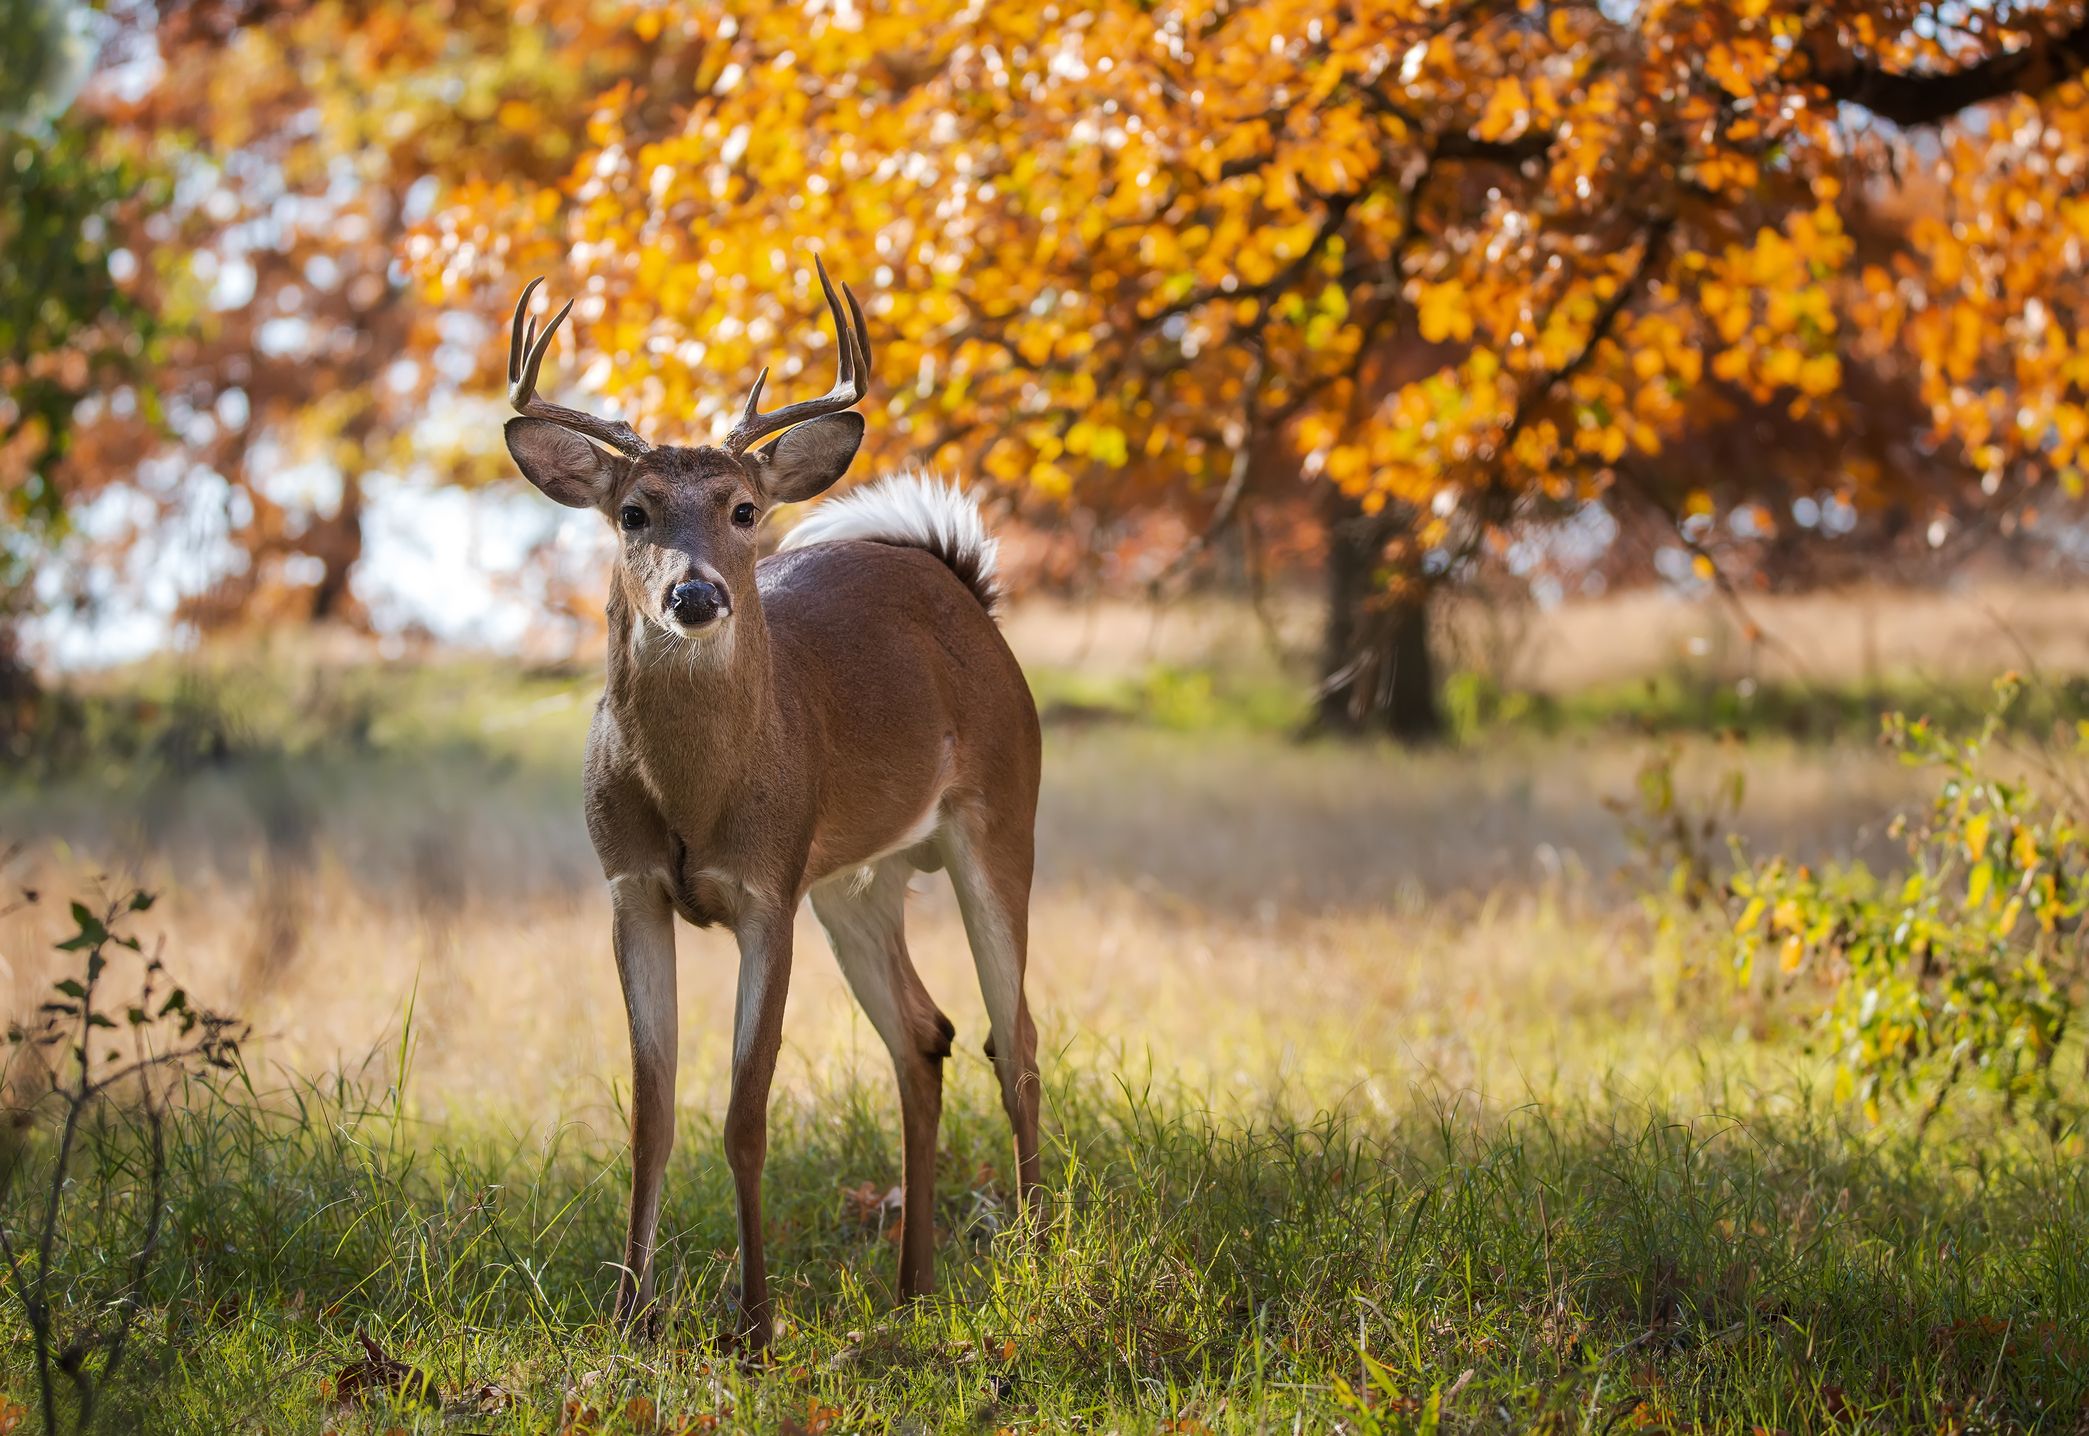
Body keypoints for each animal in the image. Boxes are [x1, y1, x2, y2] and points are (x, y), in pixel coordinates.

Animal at [500, 261, 1042, 1348]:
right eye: (633, 511)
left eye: (744, 508)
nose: (696, 594)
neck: (697, 796)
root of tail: (962, 582)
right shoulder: (630, 887)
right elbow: (650, 1112)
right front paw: (627, 1316)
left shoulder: (767, 889)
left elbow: (745, 1113)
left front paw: (753, 1325)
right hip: (855, 880)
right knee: (925, 1034)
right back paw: (912, 1288)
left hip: (1004, 816)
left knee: (1019, 1044)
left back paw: (1049, 1257)